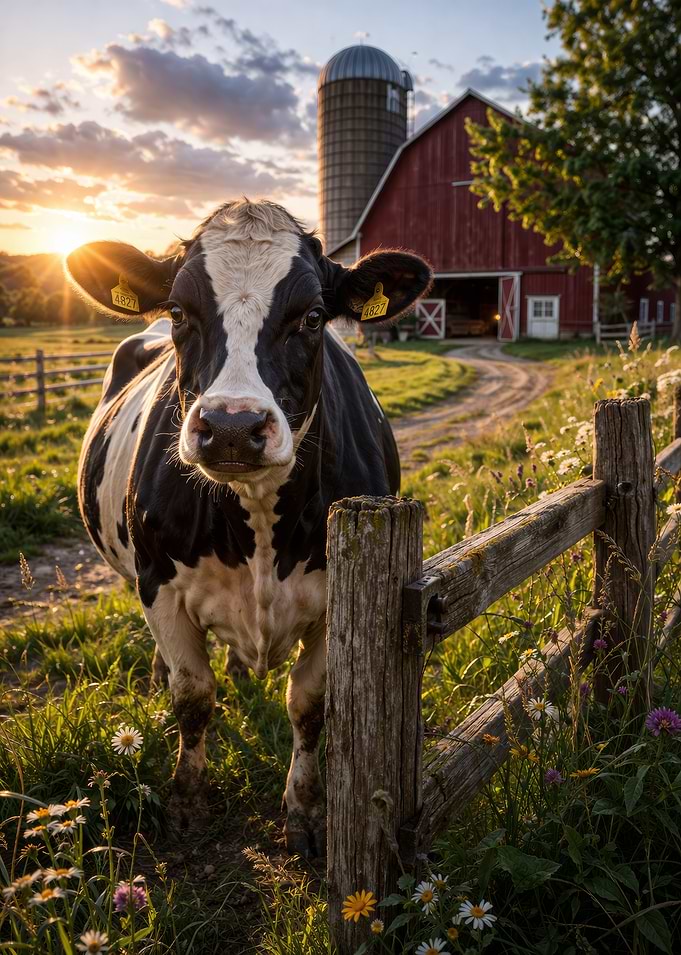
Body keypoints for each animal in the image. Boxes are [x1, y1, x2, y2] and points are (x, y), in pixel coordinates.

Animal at [66, 199, 432, 856]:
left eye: (313, 317)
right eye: (180, 312)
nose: (232, 427)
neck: (259, 524)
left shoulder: (339, 597)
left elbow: (310, 703)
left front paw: (305, 811)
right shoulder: (158, 582)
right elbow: (193, 696)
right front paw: (186, 803)